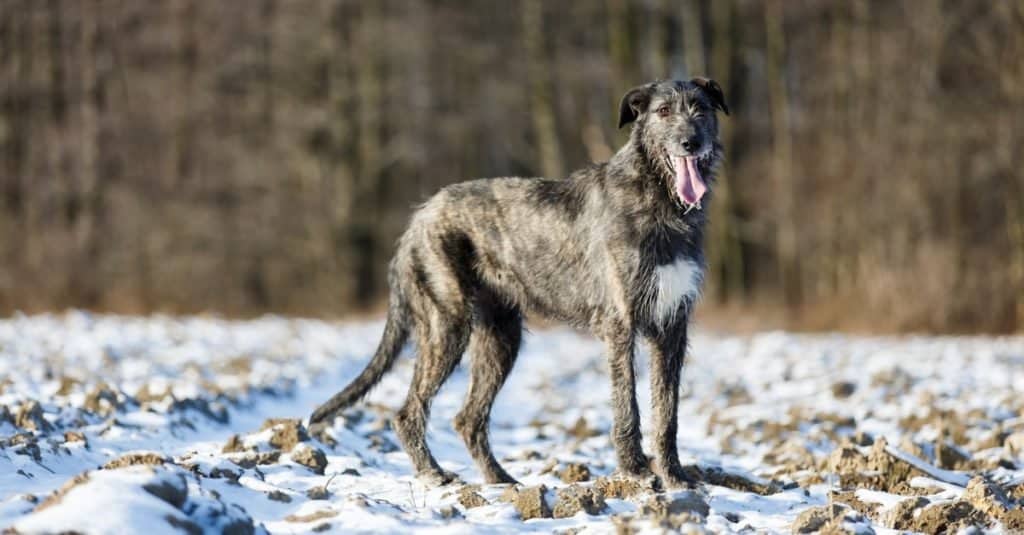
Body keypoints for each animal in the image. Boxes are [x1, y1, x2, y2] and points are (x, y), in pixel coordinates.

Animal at [309, 76, 729, 485]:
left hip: (501, 338)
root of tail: (418, 217)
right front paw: (636, 471)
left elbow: (668, 410)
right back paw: (433, 473)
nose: (691, 142)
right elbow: (628, 405)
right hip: (445, 325)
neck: (658, 196)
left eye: (700, 109)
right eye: (663, 111)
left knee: (468, 418)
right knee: (408, 411)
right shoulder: (620, 324)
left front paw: (675, 476)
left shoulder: (672, 326)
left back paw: (500, 479)